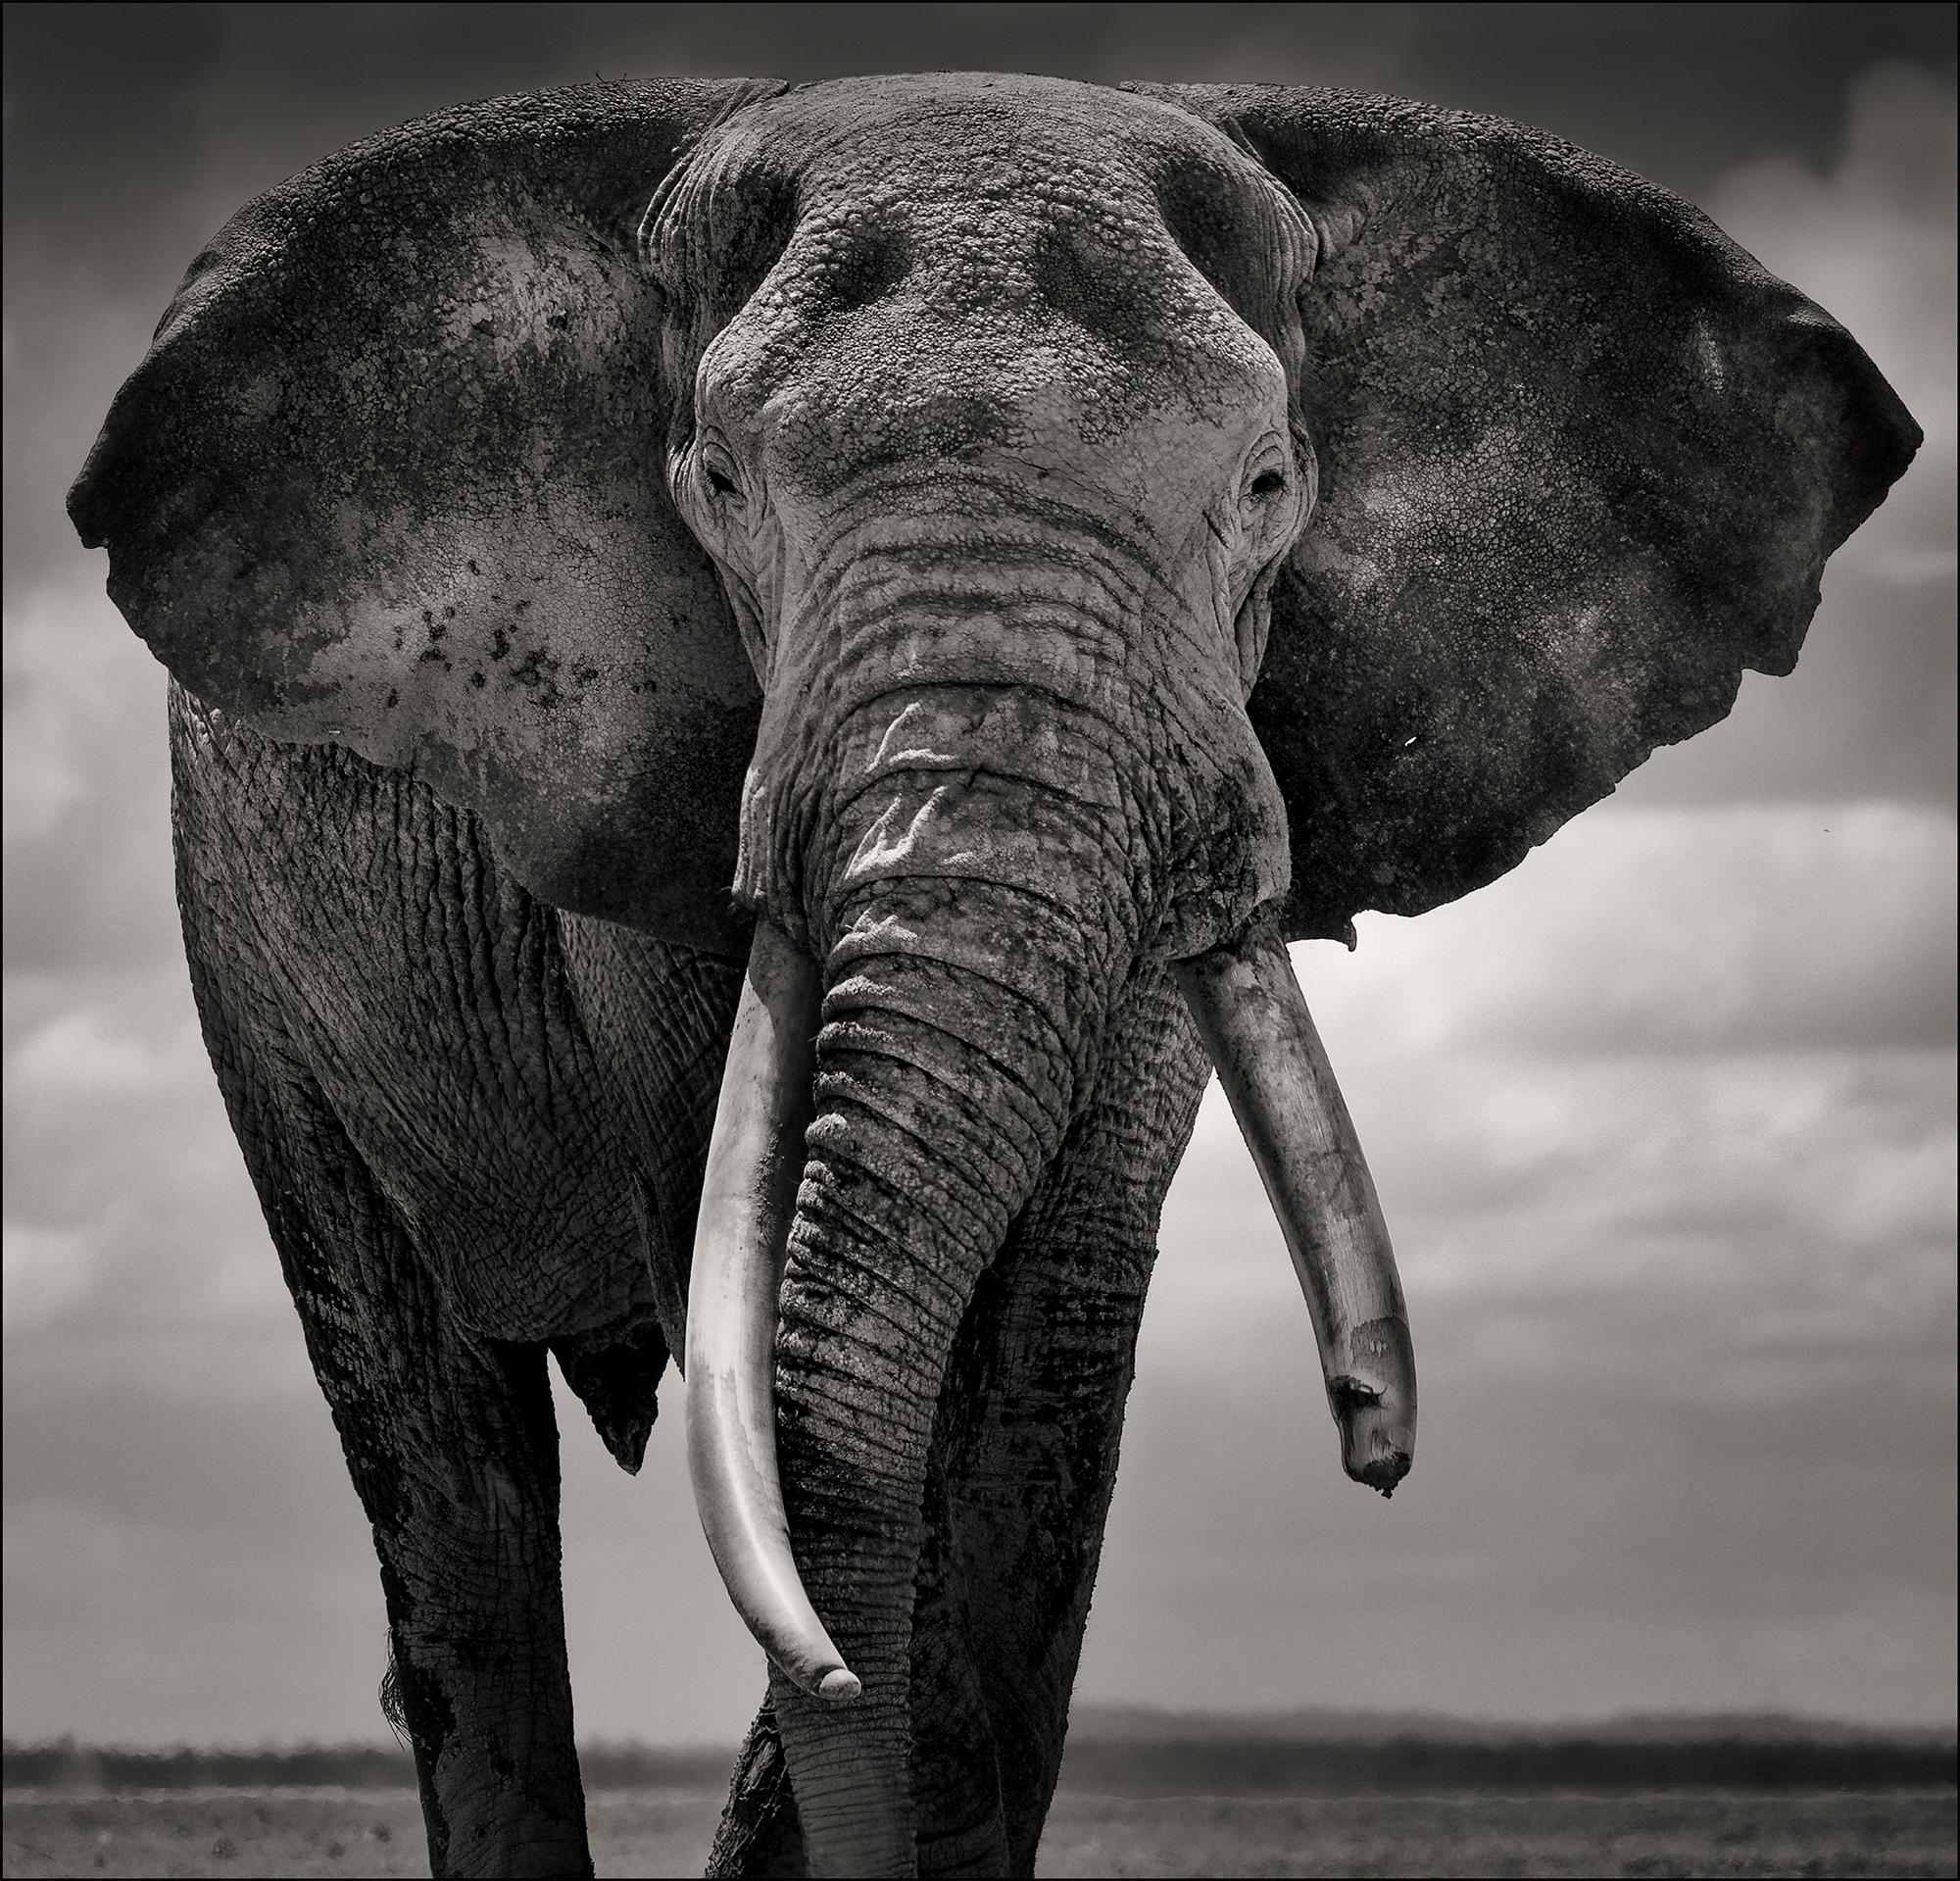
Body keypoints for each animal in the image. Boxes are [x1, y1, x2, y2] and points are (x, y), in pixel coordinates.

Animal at [73, 69, 1913, 1865]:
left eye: (1264, 489)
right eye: (720, 488)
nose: (1375, 1445)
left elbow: (1047, 1347)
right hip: (240, 936)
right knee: (438, 1462)